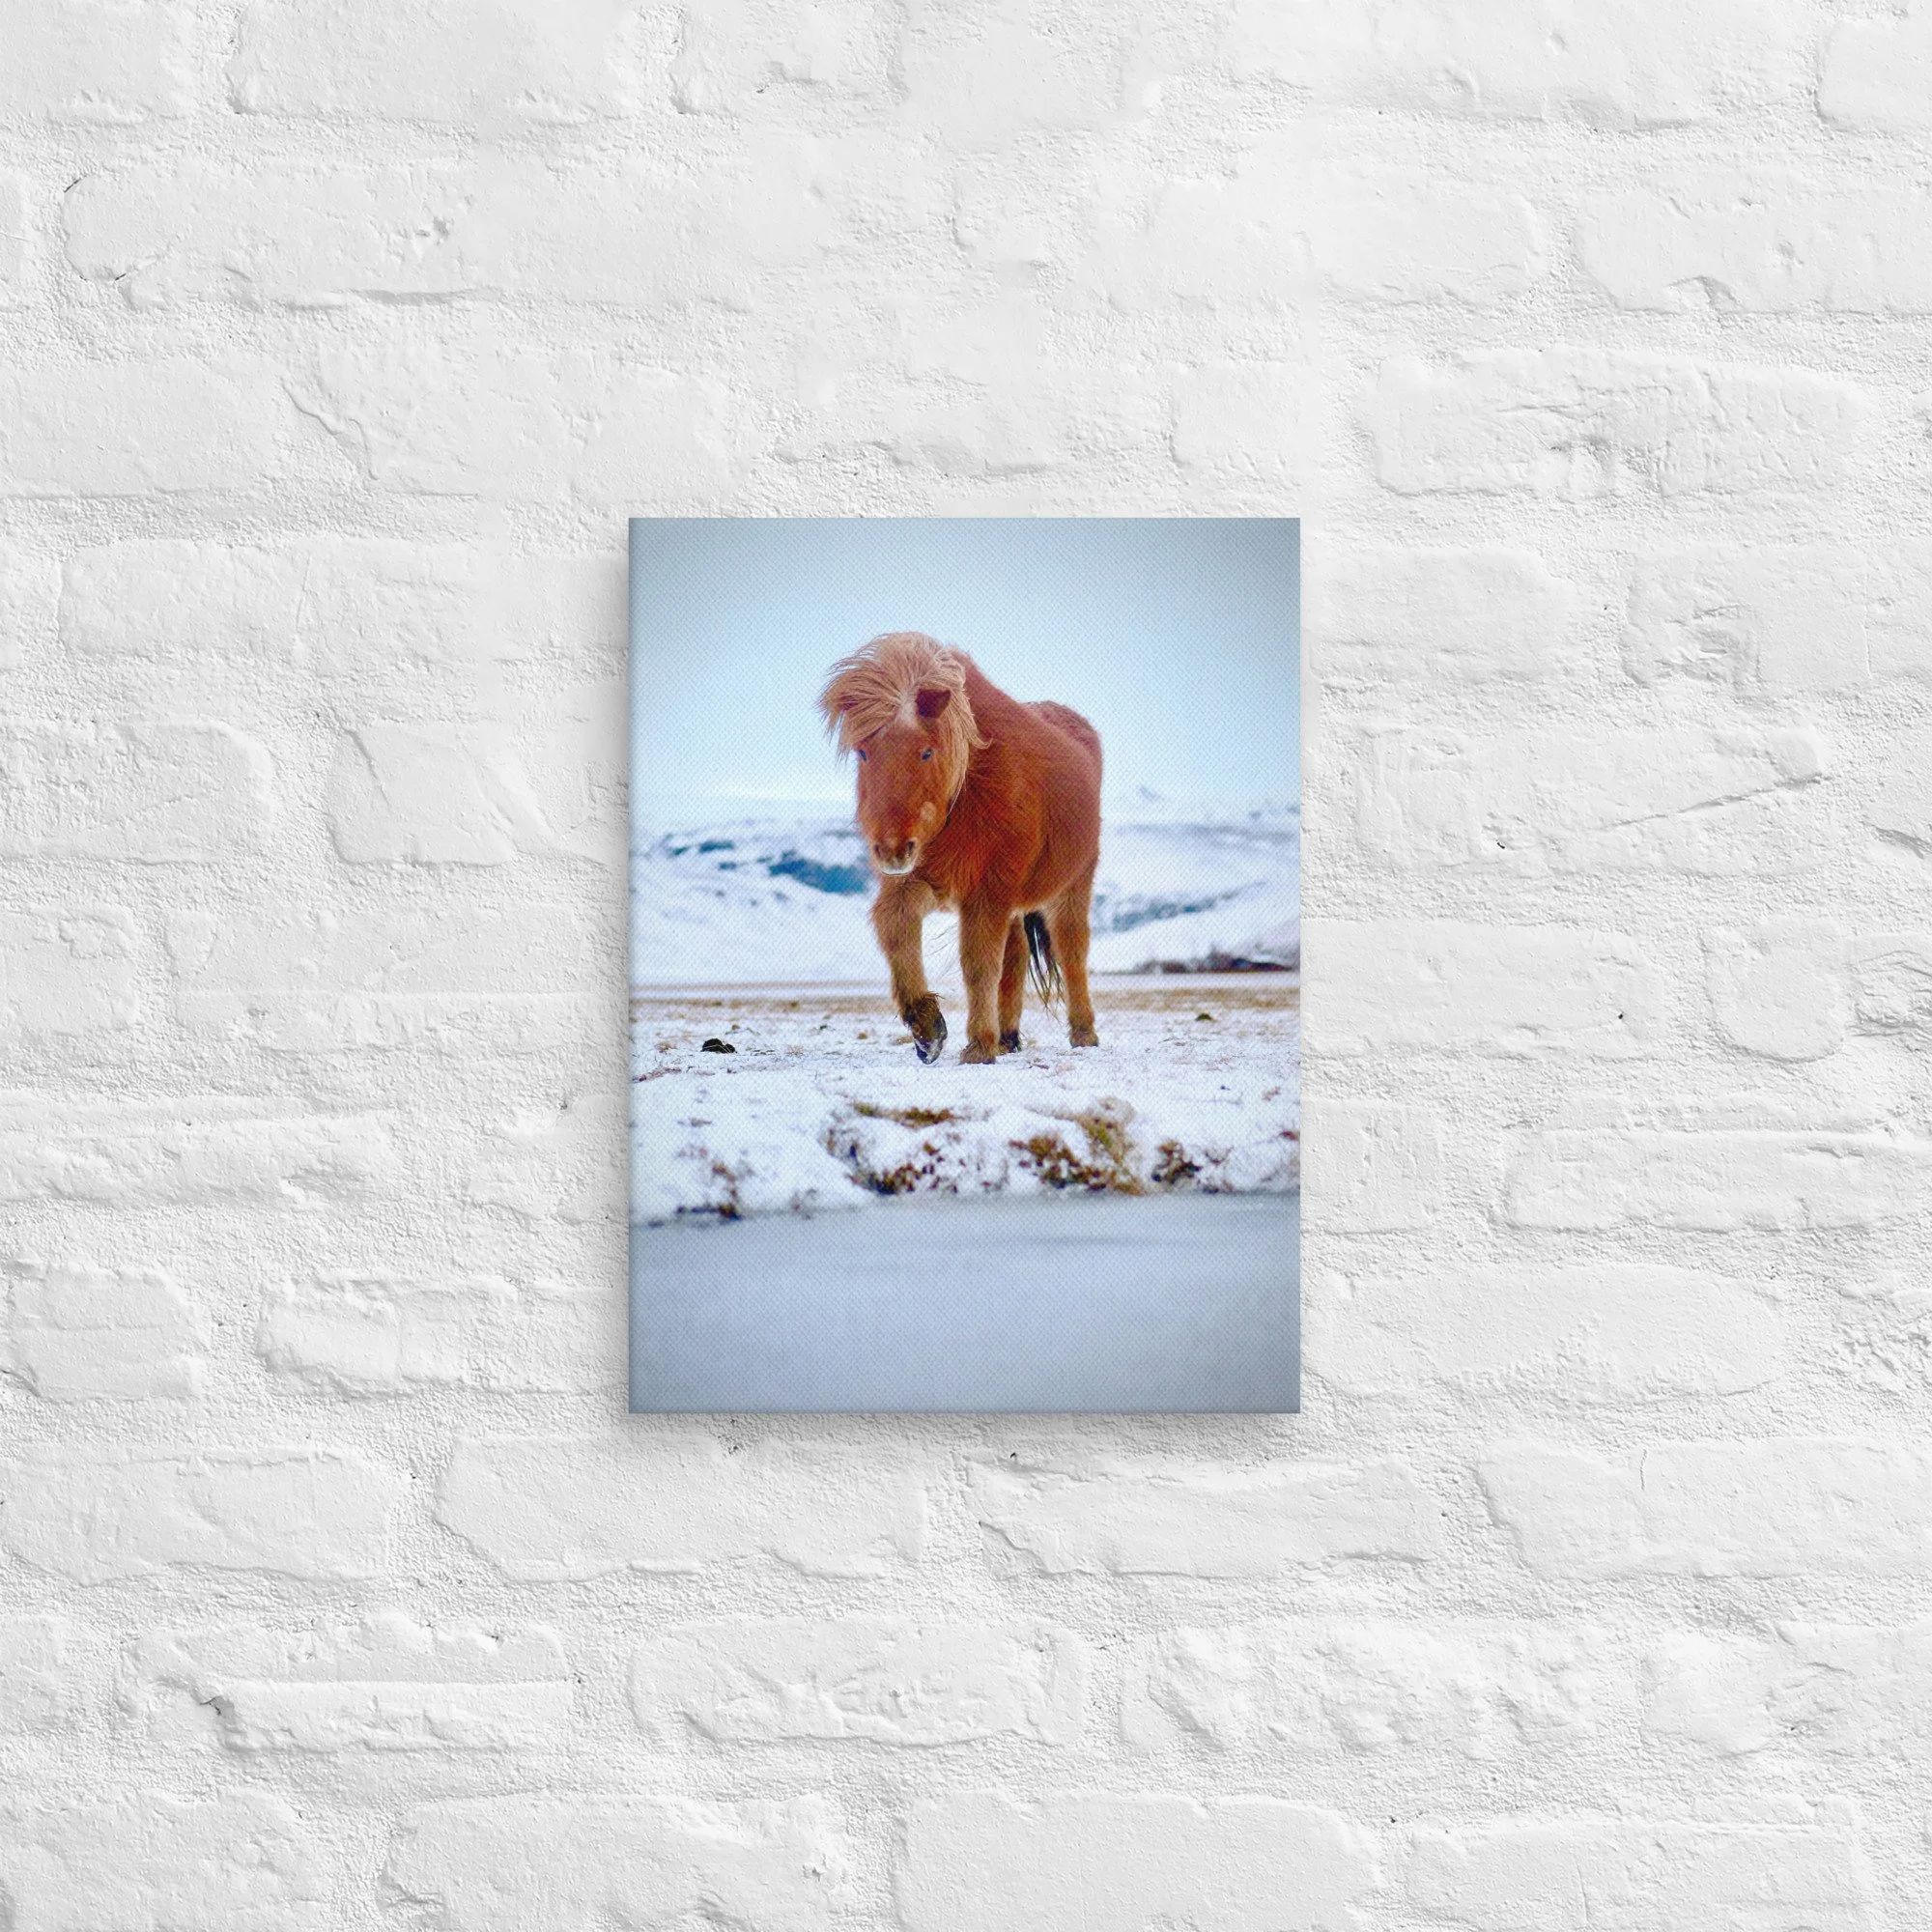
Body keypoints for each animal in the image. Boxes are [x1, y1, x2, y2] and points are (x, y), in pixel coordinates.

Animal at [819, 631, 1103, 1066]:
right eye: (864, 752)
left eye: (925, 751)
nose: (891, 849)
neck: (967, 788)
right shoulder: (919, 881)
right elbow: (896, 929)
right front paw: (927, 1028)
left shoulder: (986, 891)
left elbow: (978, 964)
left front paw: (978, 1045)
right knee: (1016, 957)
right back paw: (1008, 1037)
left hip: (1072, 885)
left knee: (1072, 950)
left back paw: (1083, 1033)